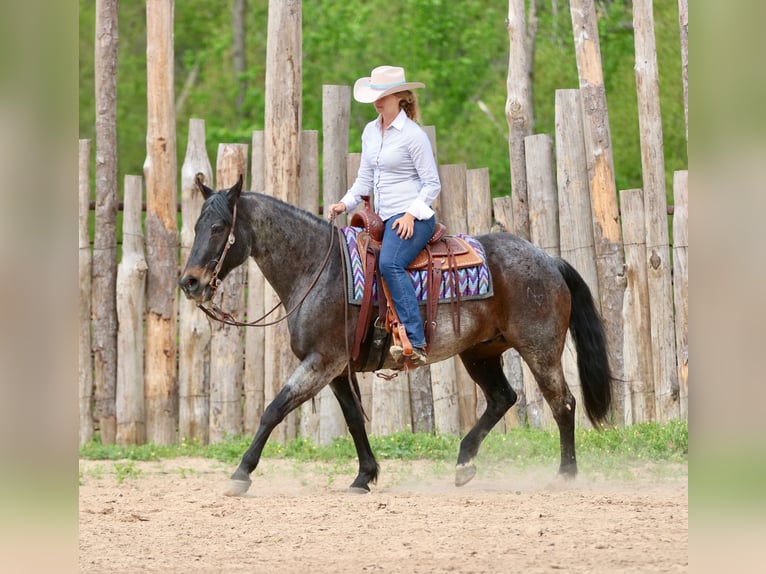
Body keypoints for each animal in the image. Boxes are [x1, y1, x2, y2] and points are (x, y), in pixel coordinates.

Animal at [179, 175, 612, 497]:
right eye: (197, 225)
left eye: (218, 227)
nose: (190, 282)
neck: (319, 268)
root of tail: (548, 259)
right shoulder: (337, 368)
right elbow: (354, 419)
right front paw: (364, 476)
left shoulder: (321, 362)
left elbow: (275, 408)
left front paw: (241, 473)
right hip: (479, 353)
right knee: (502, 398)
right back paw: (464, 463)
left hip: (539, 349)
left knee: (563, 403)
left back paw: (565, 475)